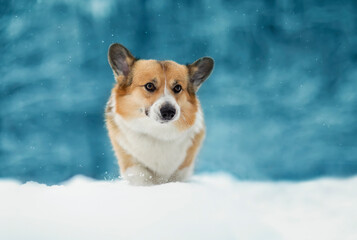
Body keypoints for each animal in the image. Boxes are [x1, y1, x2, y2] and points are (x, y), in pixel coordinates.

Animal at [104, 43, 213, 186]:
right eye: (149, 86)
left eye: (178, 88)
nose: (168, 111)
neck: (158, 132)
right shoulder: (130, 161)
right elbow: (142, 177)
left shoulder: (183, 167)